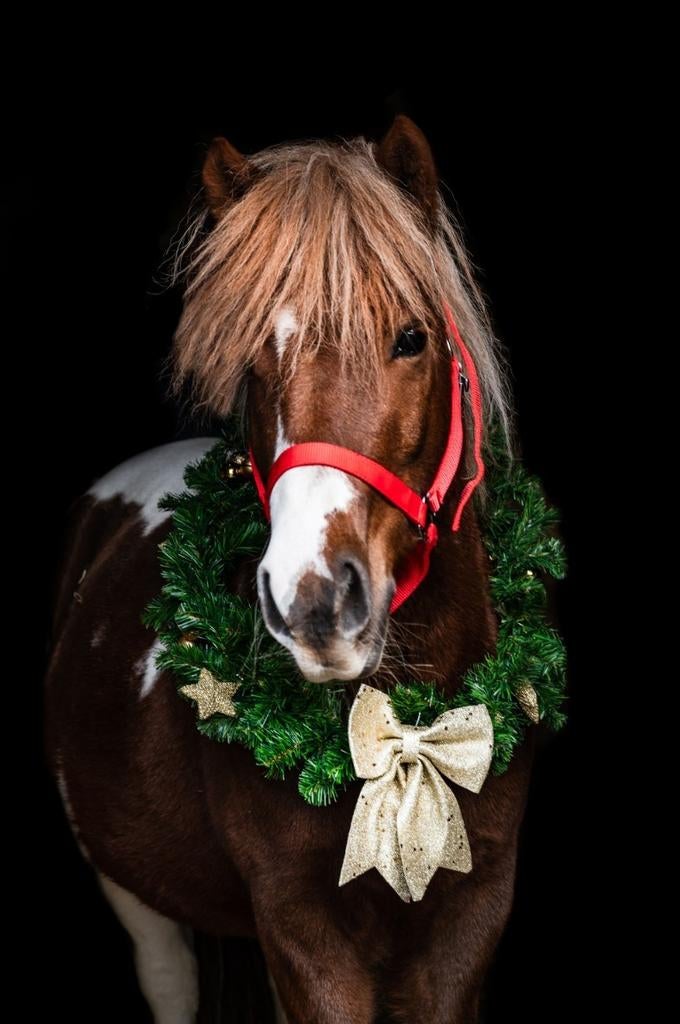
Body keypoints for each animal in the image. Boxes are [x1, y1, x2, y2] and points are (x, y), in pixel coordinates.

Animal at [44, 115, 534, 1023]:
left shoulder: (473, 917)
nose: (314, 600)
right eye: (250, 359)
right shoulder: (301, 930)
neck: (402, 733)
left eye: (411, 338)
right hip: (132, 894)